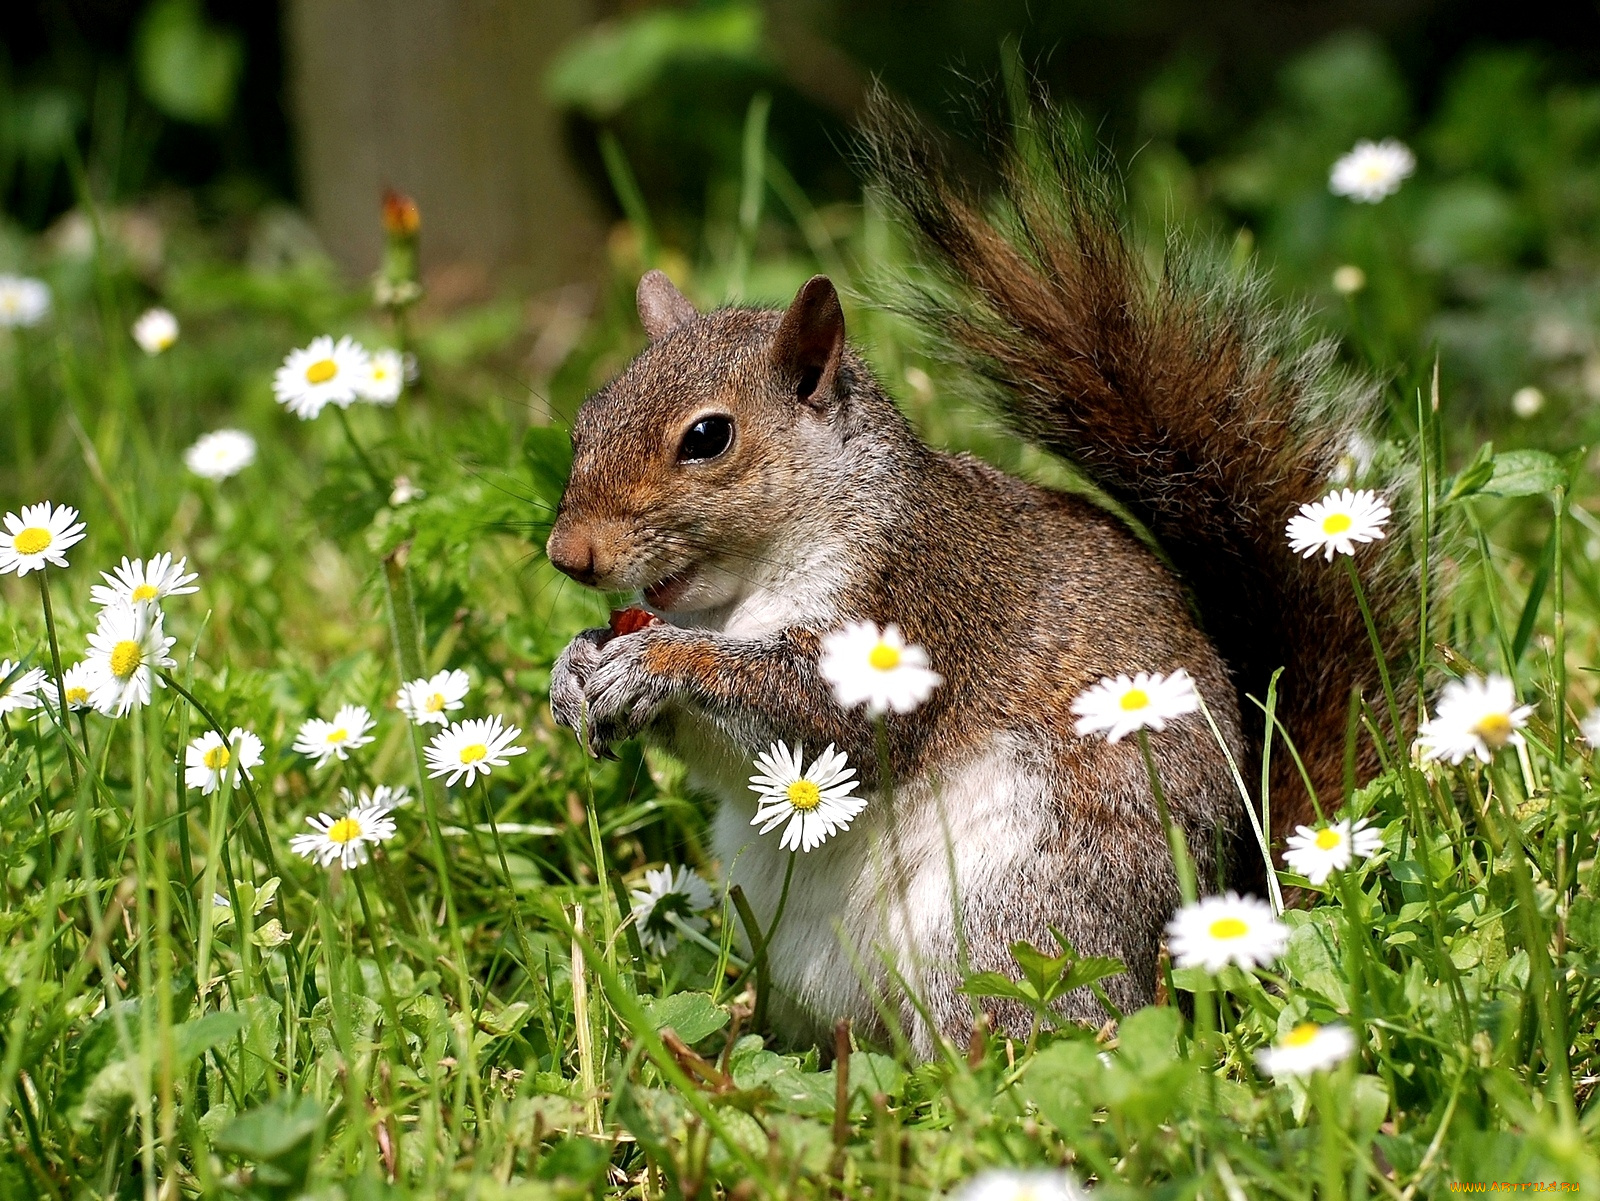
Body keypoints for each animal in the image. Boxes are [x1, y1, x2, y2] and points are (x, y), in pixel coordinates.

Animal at [544, 105, 1408, 1061]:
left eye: (707, 437)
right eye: (587, 416)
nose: (567, 554)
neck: (736, 592)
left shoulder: (916, 601)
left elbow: (822, 718)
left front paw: (658, 663)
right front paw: (575, 664)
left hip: (1018, 913)